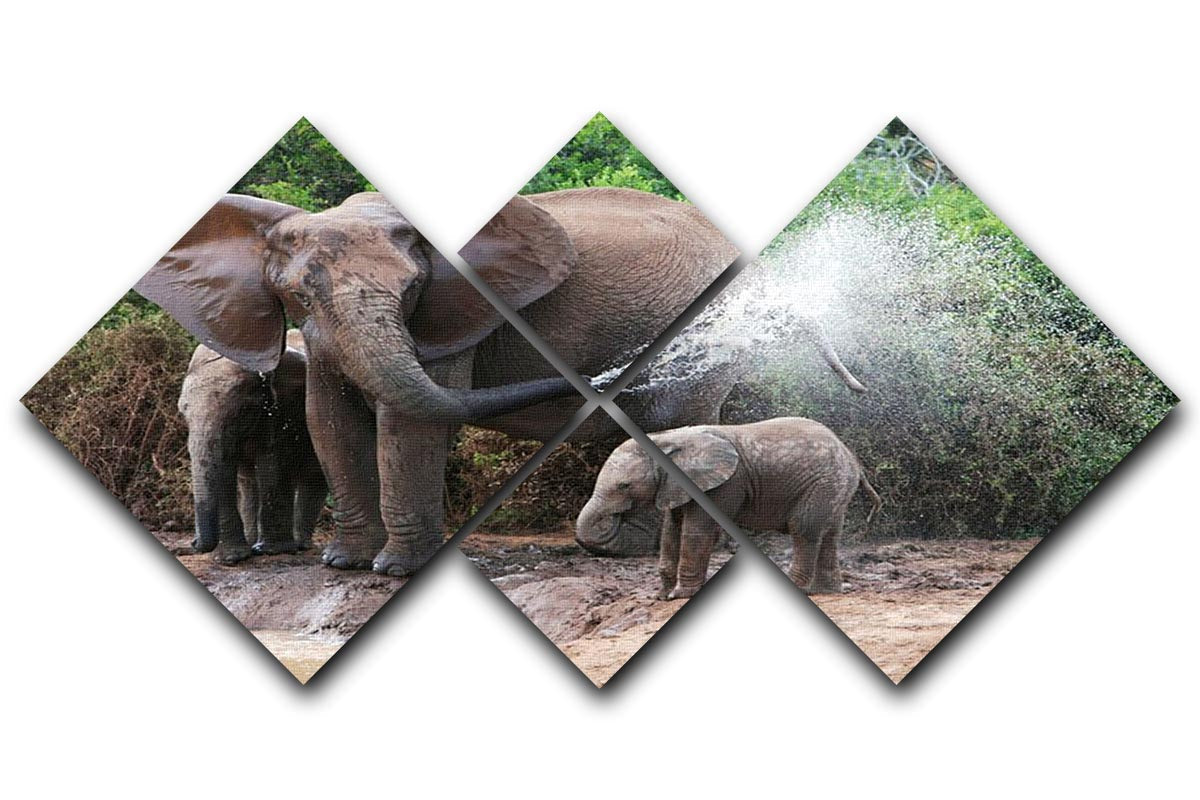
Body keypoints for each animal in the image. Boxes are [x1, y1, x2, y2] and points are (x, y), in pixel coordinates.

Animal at [178, 330, 328, 564]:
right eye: (183, 413)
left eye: (242, 411)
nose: (193, 543)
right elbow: (225, 470)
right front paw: (232, 559)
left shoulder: (282, 409)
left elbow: (271, 463)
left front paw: (272, 551)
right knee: (249, 482)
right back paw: (253, 542)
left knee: (313, 477)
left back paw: (298, 545)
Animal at [576, 417, 881, 599]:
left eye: (624, 486)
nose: (616, 518)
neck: (667, 438)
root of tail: (852, 458)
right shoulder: (676, 486)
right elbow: (671, 531)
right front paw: (662, 596)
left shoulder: (724, 484)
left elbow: (696, 531)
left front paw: (680, 595)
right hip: (834, 486)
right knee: (829, 535)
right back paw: (825, 591)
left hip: (824, 482)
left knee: (804, 529)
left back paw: (801, 588)